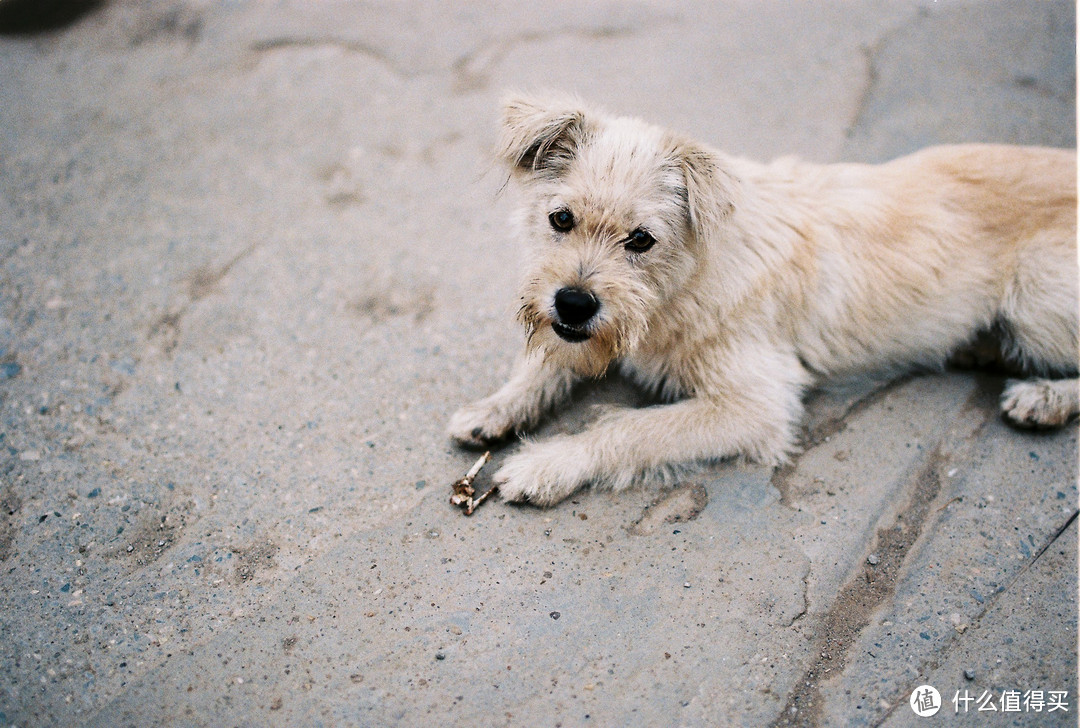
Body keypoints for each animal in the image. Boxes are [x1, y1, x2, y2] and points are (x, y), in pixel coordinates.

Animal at [447, 93, 1080, 505]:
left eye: (641, 239)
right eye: (561, 218)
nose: (574, 303)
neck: (681, 288)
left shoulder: (755, 405)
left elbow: (628, 430)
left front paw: (549, 463)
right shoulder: (585, 333)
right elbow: (544, 362)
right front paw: (495, 407)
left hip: (1037, 300)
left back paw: (1044, 398)